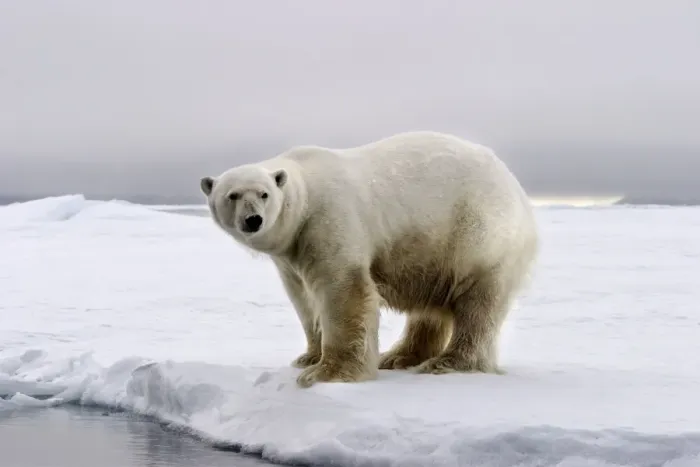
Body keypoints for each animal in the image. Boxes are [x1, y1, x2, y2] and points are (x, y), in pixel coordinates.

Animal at [199, 131, 539, 388]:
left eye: (264, 194)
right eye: (232, 195)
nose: (253, 220)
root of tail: (518, 189)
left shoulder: (327, 219)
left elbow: (343, 290)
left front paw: (325, 373)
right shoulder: (290, 255)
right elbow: (303, 300)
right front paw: (308, 356)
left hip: (477, 234)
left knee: (478, 301)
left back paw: (448, 362)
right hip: (437, 251)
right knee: (431, 308)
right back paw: (399, 356)